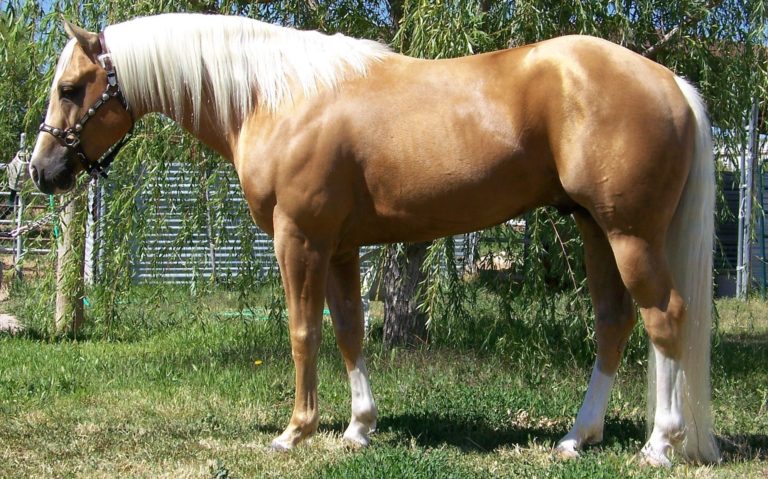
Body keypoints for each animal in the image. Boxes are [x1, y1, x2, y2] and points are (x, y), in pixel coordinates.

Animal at [30, 13, 719, 465]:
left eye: (70, 89)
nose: (42, 172)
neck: (278, 97)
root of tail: (670, 81)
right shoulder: (339, 246)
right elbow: (349, 331)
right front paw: (358, 429)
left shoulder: (299, 238)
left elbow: (303, 330)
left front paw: (295, 431)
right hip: (593, 227)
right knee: (616, 321)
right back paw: (578, 437)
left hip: (629, 233)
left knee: (665, 317)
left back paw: (660, 444)